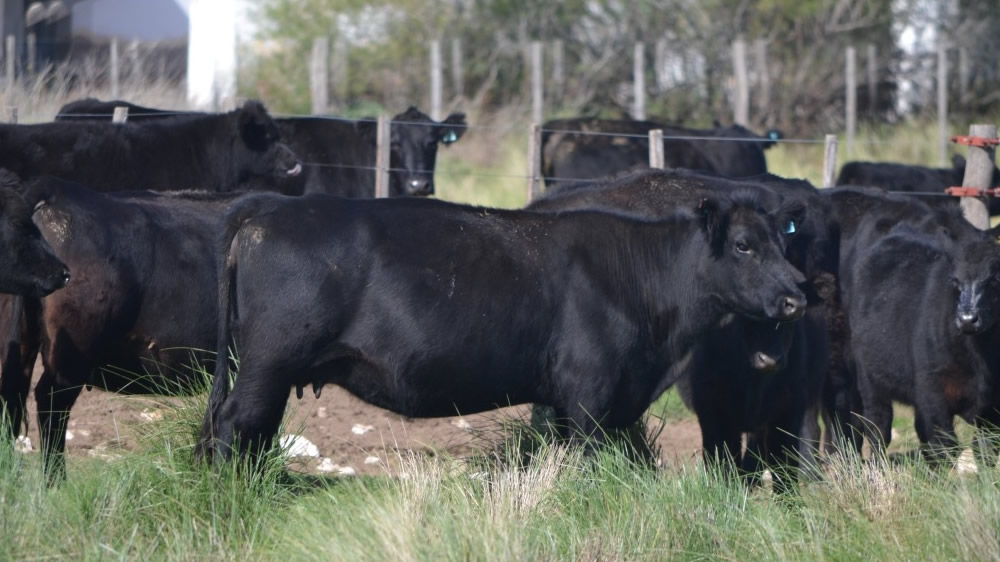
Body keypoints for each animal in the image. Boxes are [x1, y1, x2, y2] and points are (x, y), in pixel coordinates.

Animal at [193, 190, 804, 462]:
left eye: (783, 242)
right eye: (744, 246)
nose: (796, 297)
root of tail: (266, 210)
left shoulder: (569, 401)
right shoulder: (591, 394)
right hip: (269, 362)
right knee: (235, 423)